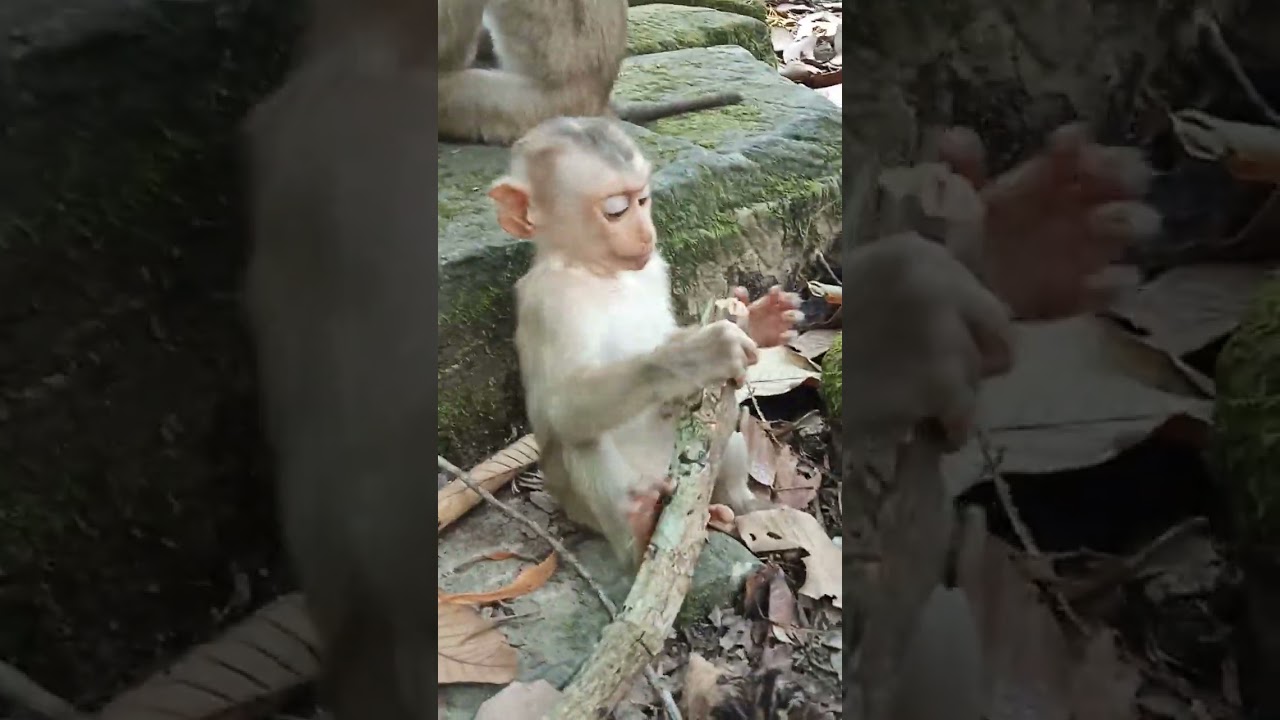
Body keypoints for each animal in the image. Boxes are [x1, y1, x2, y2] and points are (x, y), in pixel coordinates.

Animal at [489, 116, 803, 567]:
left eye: (643, 200)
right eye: (616, 210)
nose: (646, 233)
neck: (602, 272)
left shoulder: (654, 268)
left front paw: (757, 321)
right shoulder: (551, 300)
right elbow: (562, 405)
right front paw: (697, 355)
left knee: (728, 437)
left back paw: (733, 506)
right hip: (585, 503)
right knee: (584, 441)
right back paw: (638, 532)